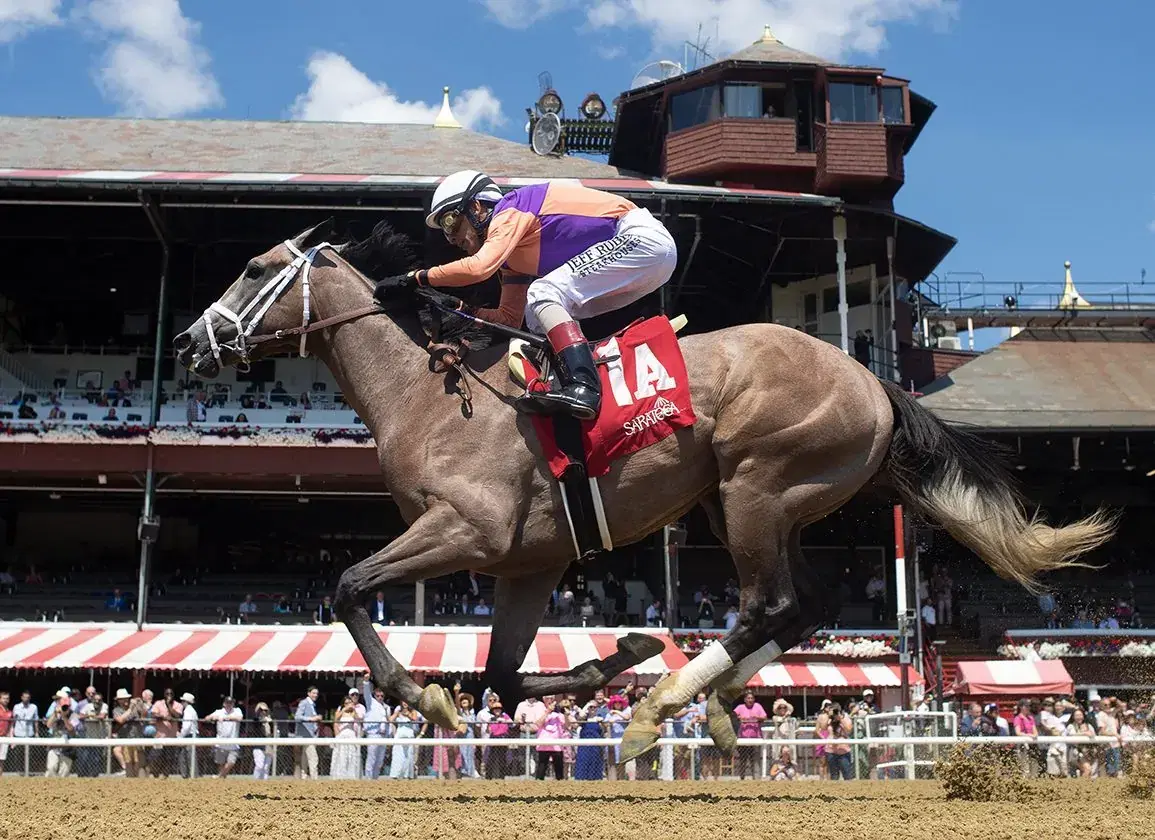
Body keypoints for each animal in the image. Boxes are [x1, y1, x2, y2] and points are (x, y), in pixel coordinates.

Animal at [173, 219, 1115, 761]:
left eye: (253, 268)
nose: (186, 344)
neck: (432, 395)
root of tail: (872, 378)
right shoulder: (526, 564)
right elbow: (505, 677)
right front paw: (610, 655)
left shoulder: (467, 530)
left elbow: (348, 586)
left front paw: (423, 692)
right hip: (756, 501)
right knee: (807, 602)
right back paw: (711, 700)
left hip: (755, 483)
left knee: (770, 604)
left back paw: (661, 704)